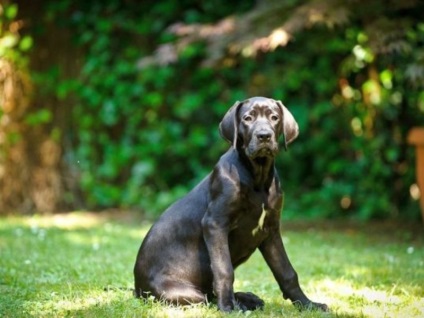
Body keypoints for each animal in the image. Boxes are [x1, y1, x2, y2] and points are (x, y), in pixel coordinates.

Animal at [132, 95, 328, 312]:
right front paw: (227, 307)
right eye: (248, 118)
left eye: (274, 118)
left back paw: (247, 299)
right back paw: (238, 303)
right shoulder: (215, 224)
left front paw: (308, 304)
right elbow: (224, 270)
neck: (257, 178)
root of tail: (137, 288)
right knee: (206, 298)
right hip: (179, 292)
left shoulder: (271, 230)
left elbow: (287, 272)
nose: (264, 136)